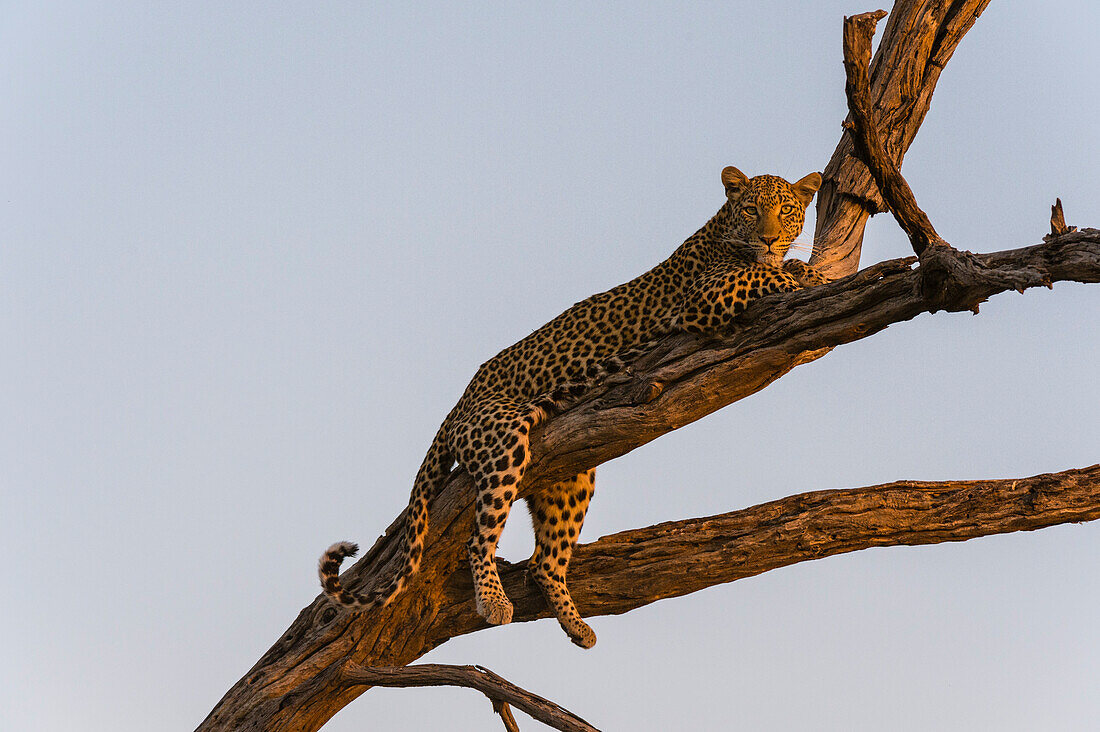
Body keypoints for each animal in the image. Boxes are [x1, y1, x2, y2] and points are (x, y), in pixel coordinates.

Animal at [319, 164, 827, 647]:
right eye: (751, 210)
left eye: (785, 211)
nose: (769, 237)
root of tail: (456, 406)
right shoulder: (704, 298)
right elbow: (761, 274)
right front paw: (801, 273)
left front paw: (802, 267)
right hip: (502, 439)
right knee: (478, 537)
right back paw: (493, 600)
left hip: (572, 479)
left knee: (544, 562)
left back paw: (577, 626)